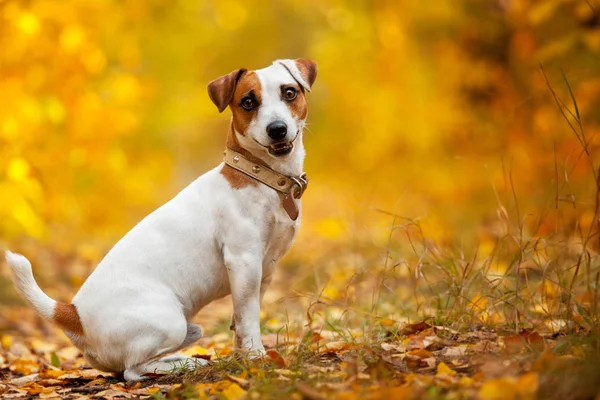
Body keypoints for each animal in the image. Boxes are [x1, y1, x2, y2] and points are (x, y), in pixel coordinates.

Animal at [4, 57, 316, 380]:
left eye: (289, 92)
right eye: (248, 102)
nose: (277, 129)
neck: (261, 177)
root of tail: (74, 315)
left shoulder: (263, 270)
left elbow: (241, 319)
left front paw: (243, 355)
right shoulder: (243, 261)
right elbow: (249, 317)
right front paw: (256, 357)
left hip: (190, 328)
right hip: (171, 323)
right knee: (133, 371)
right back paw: (187, 364)